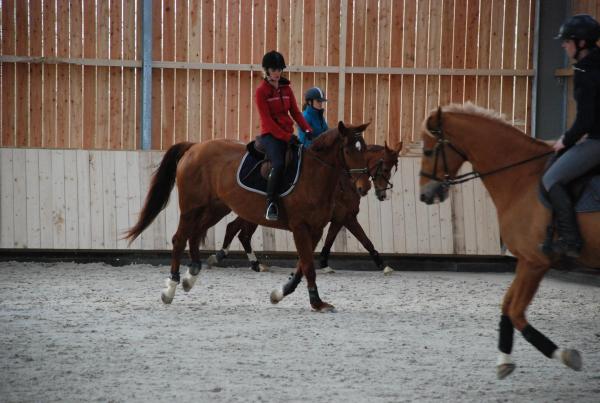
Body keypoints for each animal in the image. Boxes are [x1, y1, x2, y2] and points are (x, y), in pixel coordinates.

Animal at [126, 123, 370, 312]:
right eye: (349, 151)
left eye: (365, 149)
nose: (364, 187)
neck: (314, 175)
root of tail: (195, 146)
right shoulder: (300, 227)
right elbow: (308, 266)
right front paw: (317, 303)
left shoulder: (316, 230)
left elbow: (302, 266)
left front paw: (280, 293)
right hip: (191, 207)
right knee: (179, 238)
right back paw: (171, 287)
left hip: (216, 208)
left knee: (195, 235)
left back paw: (191, 275)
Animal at [206, 143, 404, 274]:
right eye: (385, 169)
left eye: (394, 169)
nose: (383, 195)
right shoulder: (347, 217)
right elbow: (366, 241)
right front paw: (383, 265)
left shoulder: (338, 219)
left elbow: (329, 240)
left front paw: (323, 263)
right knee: (239, 232)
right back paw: (235, 259)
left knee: (237, 231)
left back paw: (248, 262)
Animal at [420, 102, 596, 380]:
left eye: (427, 151)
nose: (424, 195)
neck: (522, 177)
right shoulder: (525, 261)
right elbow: (506, 306)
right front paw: (504, 359)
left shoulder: (534, 262)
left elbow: (515, 311)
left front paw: (565, 355)